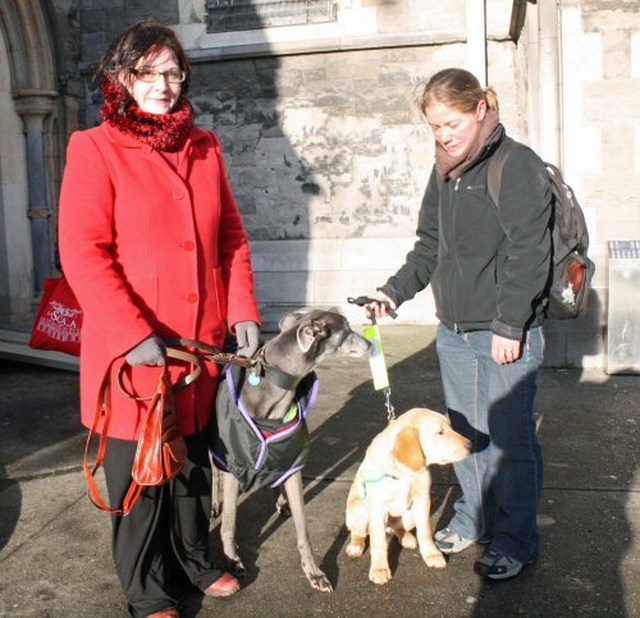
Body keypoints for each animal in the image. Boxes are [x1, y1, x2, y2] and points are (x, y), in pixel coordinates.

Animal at [210, 310, 370, 588]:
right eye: (347, 328)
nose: (370, 344)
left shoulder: (293, 464)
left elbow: (303, 529)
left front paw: (314, 572)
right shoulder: (235, 466)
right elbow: (229, 523)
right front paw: (233, 561)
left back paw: (281, 501)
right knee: (213, 470)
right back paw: (214, 505)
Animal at [344, 406, 470, 580]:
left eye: (451, 428)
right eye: (439, 432)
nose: (470, 445)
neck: (403, 472)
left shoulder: (423, 499)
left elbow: (425, 532)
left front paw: (432, 554)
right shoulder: (377, 508)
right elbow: (378, 542)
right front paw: (379, 569)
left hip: (409, 515)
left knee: (399, 529)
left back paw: (407, 538)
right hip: (359, 511)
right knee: (360, 532)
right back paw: (356, 545)